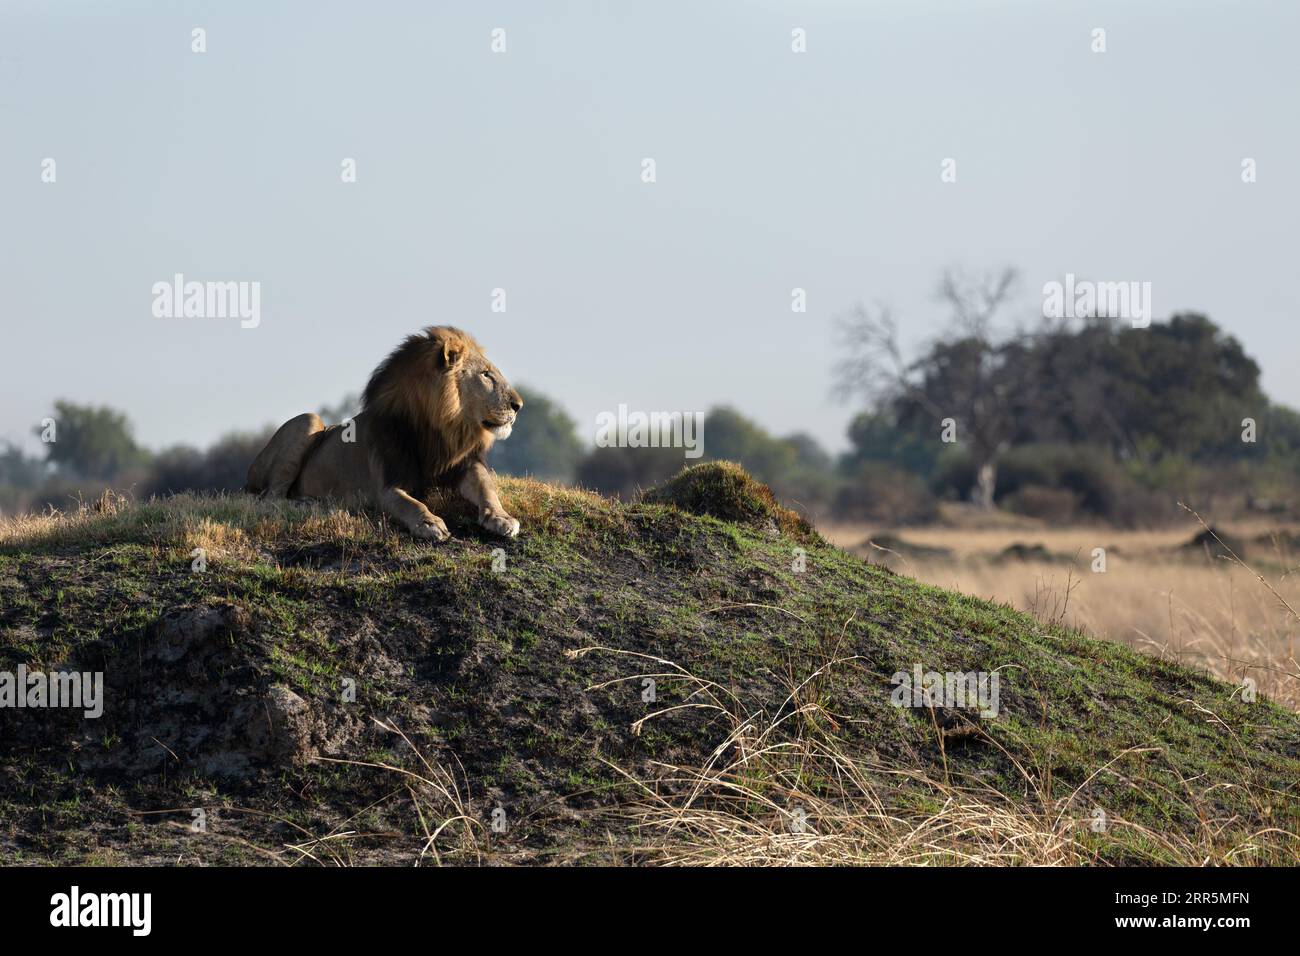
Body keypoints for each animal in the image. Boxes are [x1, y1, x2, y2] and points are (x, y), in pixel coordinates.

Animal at [244, 327, 522, 538]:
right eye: (486, 375)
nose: (518, 405)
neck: (439, 430)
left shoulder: (466, 465)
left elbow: (487, 489)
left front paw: (502, 518)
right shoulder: (387, 486)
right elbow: (411, 504)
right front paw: (429, 523)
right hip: (309, 420)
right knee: (269, 499)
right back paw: (306, 503)